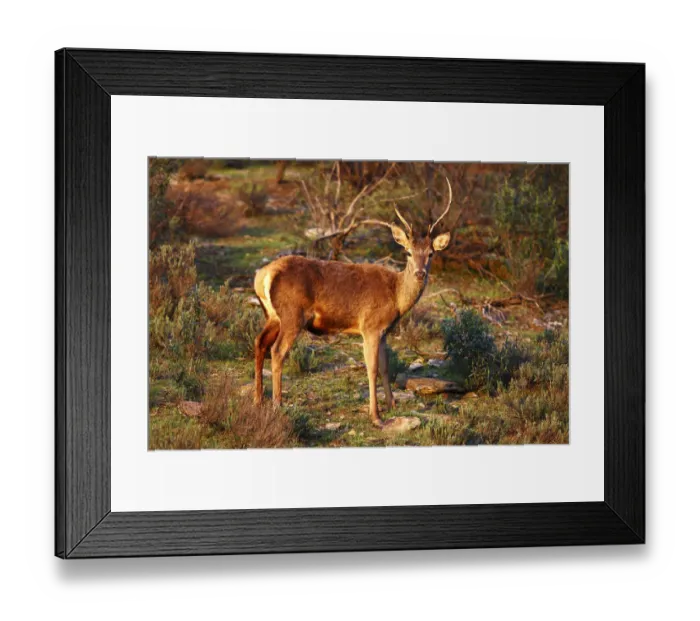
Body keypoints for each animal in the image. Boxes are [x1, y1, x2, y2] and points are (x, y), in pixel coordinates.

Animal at [253, 178, 454, 428]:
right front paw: (376, 416)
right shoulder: (370, 326)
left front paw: (391, 404)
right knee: (278, 350)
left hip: (272, 316)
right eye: (407, 252)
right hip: (292, 315)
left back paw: (258, 400)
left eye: (431, 254)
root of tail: (263, 275)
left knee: (260, 342)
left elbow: (385, 367)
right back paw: (277, 405)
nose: (419, 273)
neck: (396, 296)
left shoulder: (383, 330)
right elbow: (372, 368)